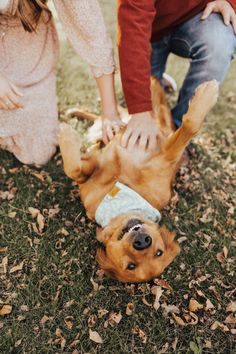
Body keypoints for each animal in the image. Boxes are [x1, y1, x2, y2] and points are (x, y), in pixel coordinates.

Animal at [58, 79, 218, 282]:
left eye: (158, 252)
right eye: (131, 265)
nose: (142, 241)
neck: (124, 191)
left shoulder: (165, 156)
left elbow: (188, 127)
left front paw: (206, 96)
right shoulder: (95, 163)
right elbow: (74, 170)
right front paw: (67, 138)